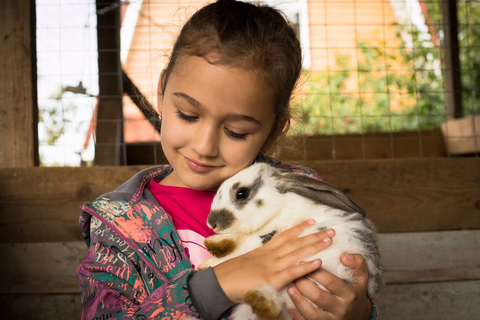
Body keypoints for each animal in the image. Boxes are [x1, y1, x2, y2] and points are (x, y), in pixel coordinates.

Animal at [197, 162, 384, 320]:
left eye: (241, 193)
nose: (211, 223)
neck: (279, 207)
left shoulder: (265, 236)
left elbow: (240, 249)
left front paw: (207, 261)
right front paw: (214, 245)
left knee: (277, 313)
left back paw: (262, 299)